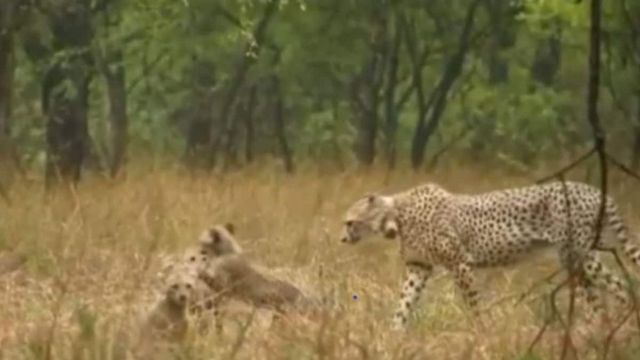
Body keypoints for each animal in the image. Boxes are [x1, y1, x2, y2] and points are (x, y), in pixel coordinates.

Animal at [342, 183, 640, 330]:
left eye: (349, 222)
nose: (342, 239)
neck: (396, 215)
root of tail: (596, 190)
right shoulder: (419, 266)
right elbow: (404, 302)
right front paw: (394, 333)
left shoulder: (460, 263)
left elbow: (473, 303)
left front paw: (482, 330)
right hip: (578, 259)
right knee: (600, 296)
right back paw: (602, 329)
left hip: (576, 255)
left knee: (621, 285)